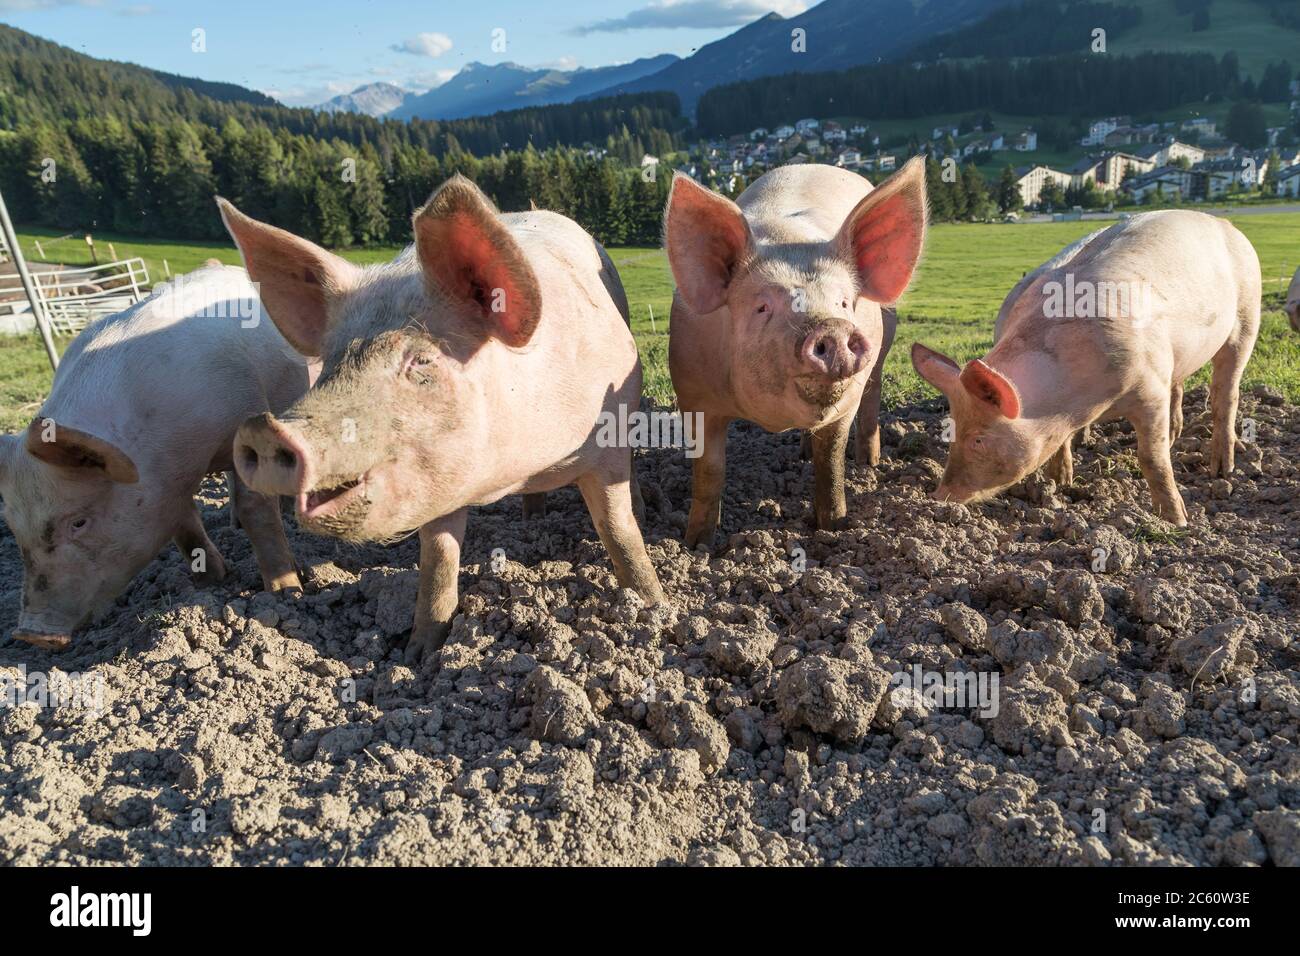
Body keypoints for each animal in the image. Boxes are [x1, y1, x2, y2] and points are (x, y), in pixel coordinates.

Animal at [219, 175, 665, 660]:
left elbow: (618, 530)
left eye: (421, 360)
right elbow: (437, 559)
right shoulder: (436, 481)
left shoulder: (607, 441)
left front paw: (655, 607)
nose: (264, 429)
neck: (515, 469)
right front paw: (420, 654)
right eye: (333, 362)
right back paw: (531, 520)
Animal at [665, 157, 930, 546]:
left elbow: (830, 461)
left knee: (873, 394)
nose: (832, 327)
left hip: (881, 352)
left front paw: (832, 528)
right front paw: (697, 544)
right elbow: (709, 470)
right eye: (762, 307)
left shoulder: (846, 401)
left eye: (844, 303)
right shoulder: (693, 392)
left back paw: (868, 463)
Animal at [904, 209, 1258, 528]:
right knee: (1181, 385)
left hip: (1246, 318)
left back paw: (1222, 470)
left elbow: (1152, 458)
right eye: (950, 432)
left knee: (1225, 394)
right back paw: (1174, 438)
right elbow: (1061, 443)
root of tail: (1222, 222)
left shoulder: (1150, 386)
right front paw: (1060, 482)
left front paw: (1177, 521)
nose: (939, 496)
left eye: (978, 439)